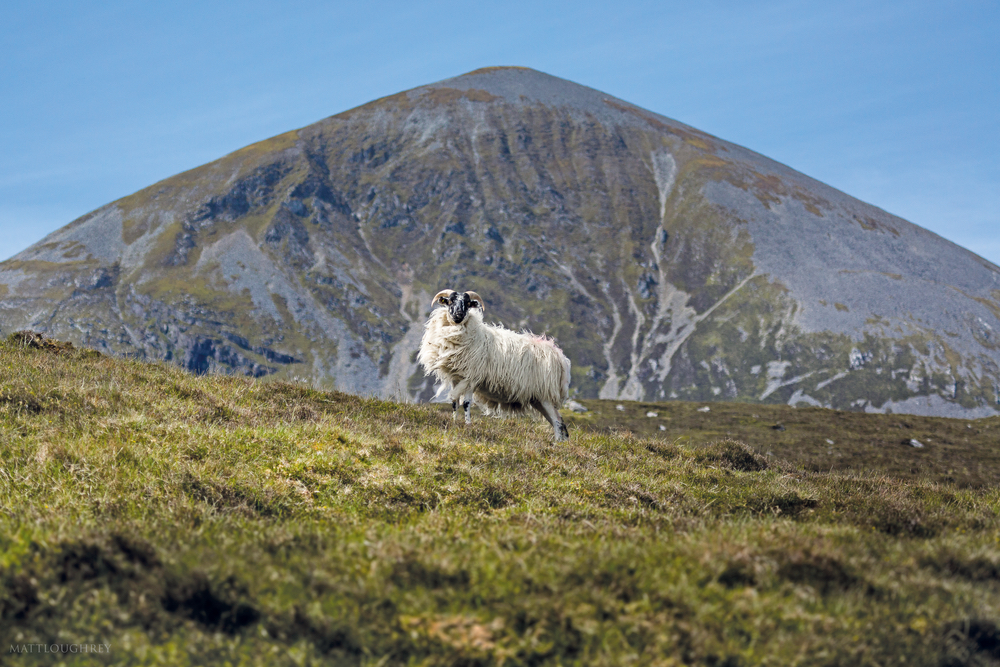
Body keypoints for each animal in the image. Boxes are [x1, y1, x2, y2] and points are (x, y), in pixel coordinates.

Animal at [414, 288, 572, 440]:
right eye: (450, 301)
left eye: (467, 303)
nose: (458, 314)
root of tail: (561, 357)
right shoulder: (456, 378)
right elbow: (455, 402)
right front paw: (453, 422)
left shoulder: (471, 378)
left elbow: (466, 403)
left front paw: (468, 426)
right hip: (538, 398)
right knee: (556, 420)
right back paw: (561, 443)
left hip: (546, 395)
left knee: (558, 421)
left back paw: (557, 444)